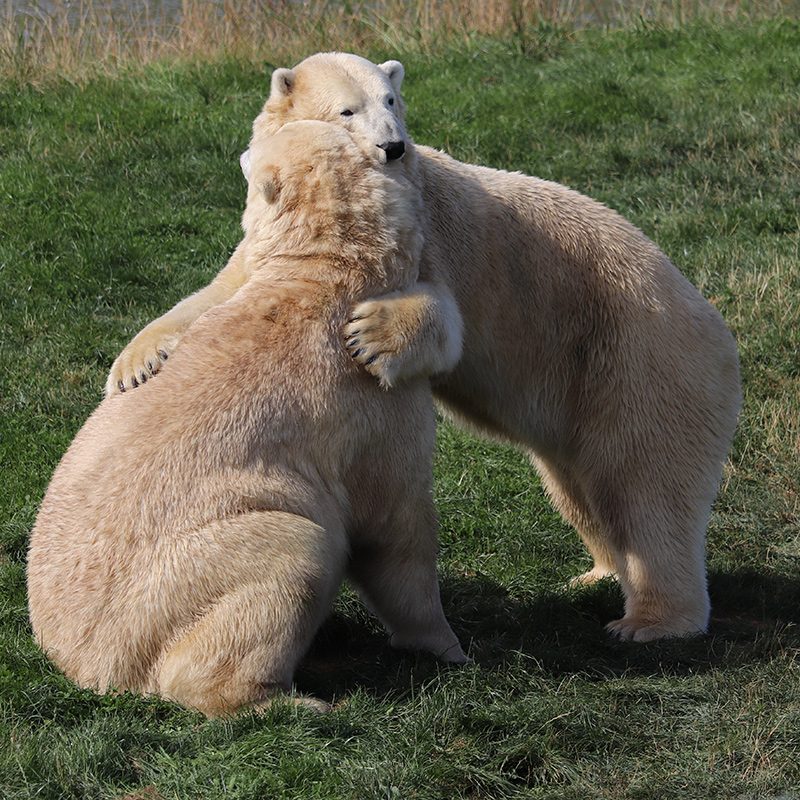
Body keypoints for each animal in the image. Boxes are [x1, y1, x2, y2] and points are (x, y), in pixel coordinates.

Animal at [28, 120, 468, 720]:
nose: (239, 149)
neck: (321, 278)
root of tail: (87, 666)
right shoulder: (373, 411)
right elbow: (395, 527)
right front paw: (447, 645)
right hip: (178, 585)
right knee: (296, 552)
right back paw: (296, 702)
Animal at [106, 53, 744, 644]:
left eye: (392, 99)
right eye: (348, 109)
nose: (392, 147)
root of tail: (714, 325)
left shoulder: (426, 237)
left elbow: (444, 320)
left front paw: (373, 337)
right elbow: (225, 287)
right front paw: (134, 367)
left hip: (640, 362)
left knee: (648, 489)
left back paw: (650, 621)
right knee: (581, 487)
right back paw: (597, 572)